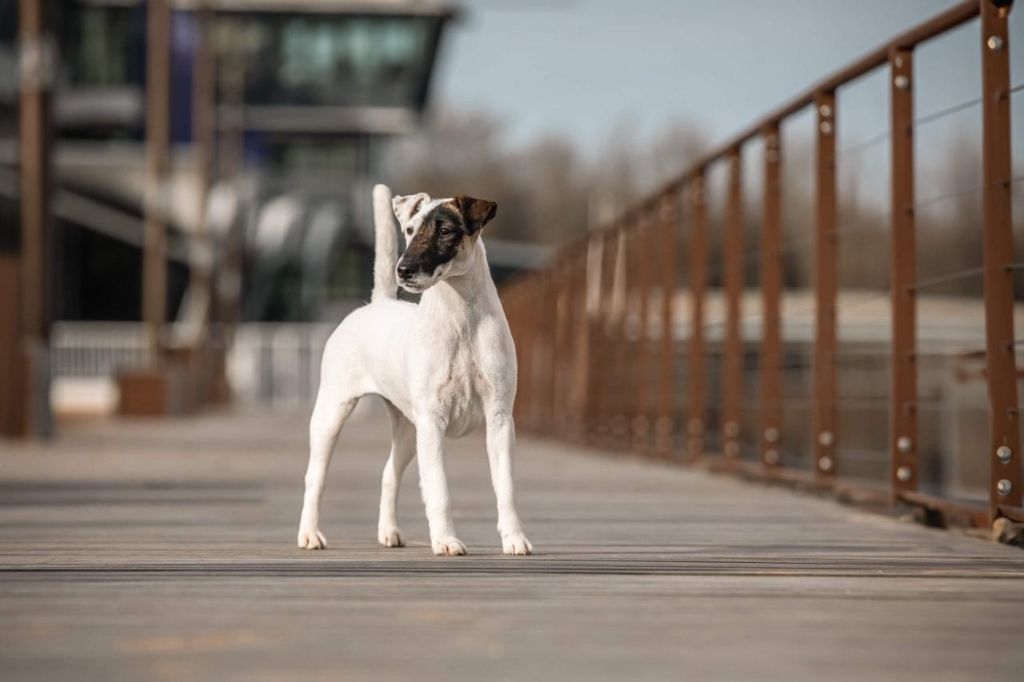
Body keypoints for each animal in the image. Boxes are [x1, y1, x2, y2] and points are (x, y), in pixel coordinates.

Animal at [296, 183, 532, 557]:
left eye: (445, 231)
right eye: (408, 230)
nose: (403, 270)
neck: (462, 320)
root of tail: (377, 302)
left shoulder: (499, 421)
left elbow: (505, 488)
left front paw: (514, 539)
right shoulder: (433, 423)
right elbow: (438, 489)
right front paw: (446, 540)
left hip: (409, 431)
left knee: (388, 474)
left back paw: (389, 532)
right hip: (332, 414)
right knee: (314, 478)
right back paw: (309, 535)